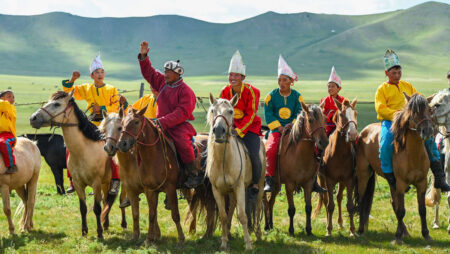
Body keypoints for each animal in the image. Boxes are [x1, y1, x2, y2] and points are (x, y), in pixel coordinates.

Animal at [29, 90, 117, 239]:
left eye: (57, 104)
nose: (33, 118)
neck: (83, 151)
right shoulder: (78, 183)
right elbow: (83, 208)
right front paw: (84, 231)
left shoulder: (96, 183)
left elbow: (97, 208)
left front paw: (99, 233)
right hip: (106, 183)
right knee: (107, 201)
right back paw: (106, 224)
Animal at [206, 93, 266, 250]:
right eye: (213, 110)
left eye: (230, 111)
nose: (218, 130)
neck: (223, 161)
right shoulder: (217, 190)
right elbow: (223, 215)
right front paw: (224, 242)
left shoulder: (239, 188)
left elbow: (242, 215)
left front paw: (248, 244)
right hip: (231, 191)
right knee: (232, 207)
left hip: (260, 185)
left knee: (258, 207)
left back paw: (258, 234)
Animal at [264, 101, 330, 236]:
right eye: (310, 120)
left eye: (325, 119)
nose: (324, 142)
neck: (299, 154)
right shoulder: (289, 185)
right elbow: (291, 209)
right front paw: (291, 230)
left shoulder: (308, 184)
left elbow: (308, 208)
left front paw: (309, 229)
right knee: (264, 203)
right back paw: (265, 226)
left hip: (276, 185)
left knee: (270, 202)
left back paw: (270, 225)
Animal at [312, 98, 358, 236]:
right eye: (342, 115)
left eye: (355, 113)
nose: (352, 134)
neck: (340, 154)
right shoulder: (330, 180)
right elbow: (330, 205)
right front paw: (328, 229)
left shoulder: (349, 180)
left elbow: (349, 205)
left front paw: (352, 230)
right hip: (322, 178)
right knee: (326, 200)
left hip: (342, 181)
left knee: (338, 197)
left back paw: (340, 222)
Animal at [356, 92, 436, 243]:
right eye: (414, 112)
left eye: (429, 110)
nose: (428, 131)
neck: (412, 154)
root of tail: (363, 131)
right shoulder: (401, 183)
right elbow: (401, 210)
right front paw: (398, 237)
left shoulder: (421, 183)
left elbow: (422, 209)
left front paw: (426, 234)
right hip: (364, 175)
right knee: (362, 200)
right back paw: (359, 230)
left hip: (391, 181)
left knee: (393, 202)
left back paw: (405, 231)